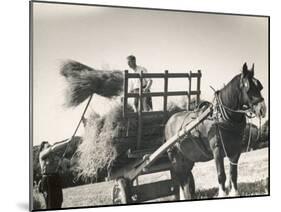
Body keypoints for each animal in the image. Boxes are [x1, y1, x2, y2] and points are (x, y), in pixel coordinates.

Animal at [165, 62, 266, 199]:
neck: (223, 118)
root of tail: (169, 120)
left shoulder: (236, 150)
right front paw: (222, 193)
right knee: (179, 177)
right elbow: (221, 175)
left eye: (260, 87)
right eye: (248, 88)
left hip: (187, 158)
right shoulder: (217, 150)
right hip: (175, 157)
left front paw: (235, 193)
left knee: (185, 177)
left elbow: (233, 173)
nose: (263, 109)